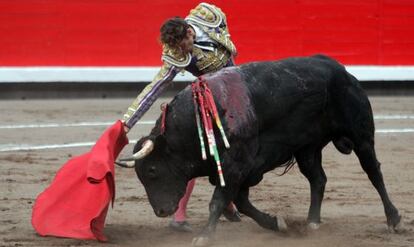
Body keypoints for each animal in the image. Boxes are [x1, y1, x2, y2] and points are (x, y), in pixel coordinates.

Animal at [130, 54, 402, 243]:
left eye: (152, 171)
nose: (161, 211)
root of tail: (342, 70)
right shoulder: (237, 171)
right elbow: (240, 203)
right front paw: (276, 223)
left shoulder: (236, 166)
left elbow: (219, 201)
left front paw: (205, 235)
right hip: (307, 148)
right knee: (318, 179)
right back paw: (312, 222)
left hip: (361, 135)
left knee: (373, 172)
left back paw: (393, 219)